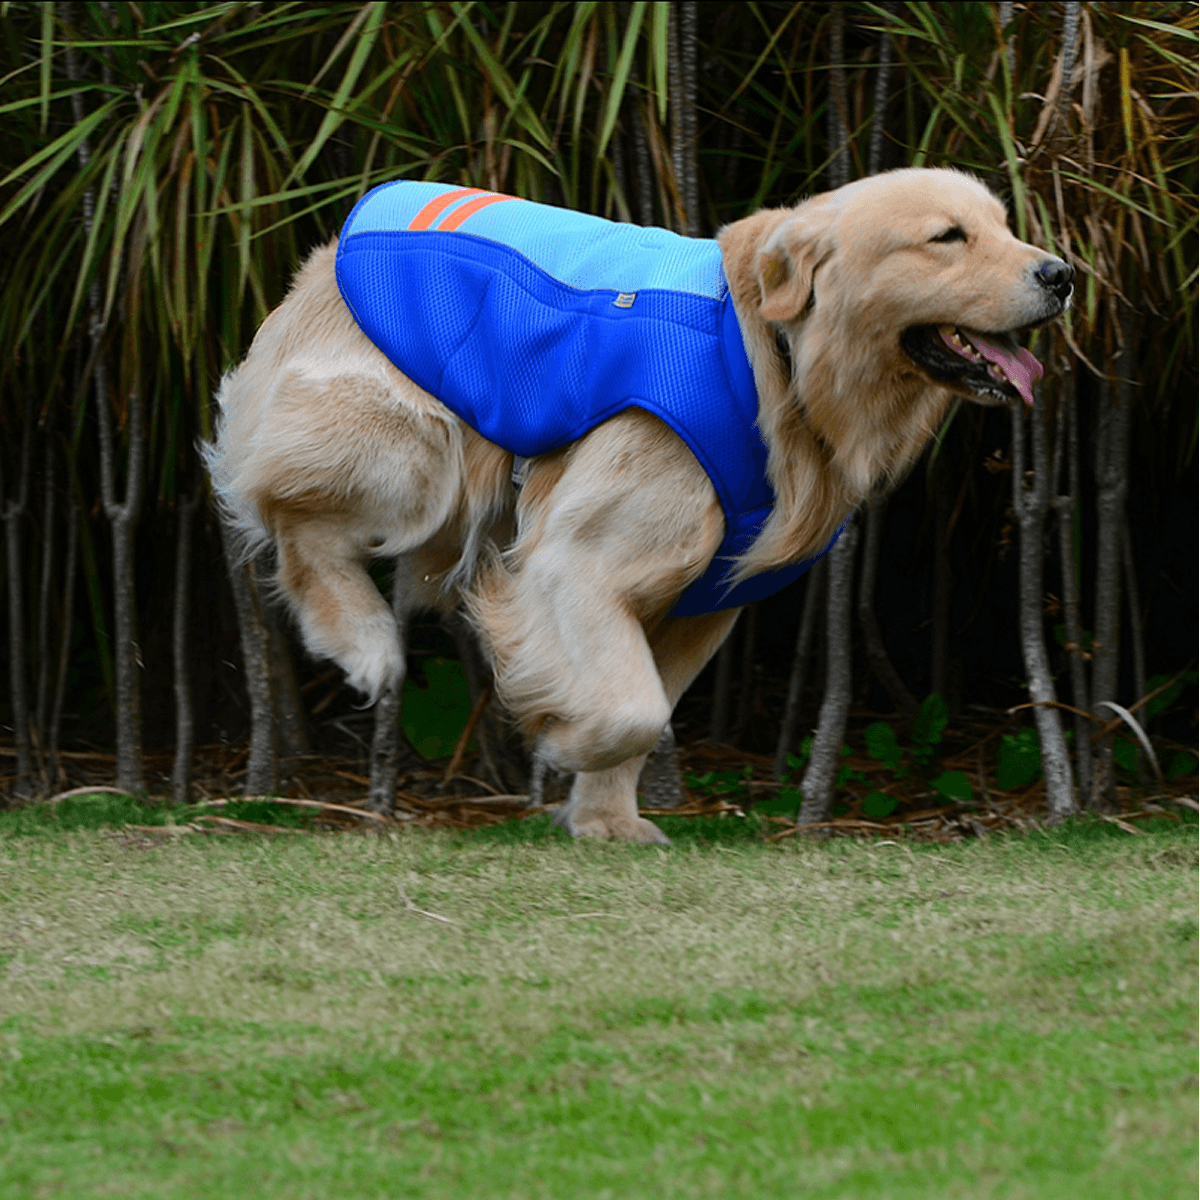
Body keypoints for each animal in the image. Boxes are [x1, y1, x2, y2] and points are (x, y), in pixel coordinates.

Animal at [206, 169, 1070, 844]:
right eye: (947, 237)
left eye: (1003, 225)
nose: (1062, 274)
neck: (772, 360)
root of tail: (339, 241)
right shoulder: (576, 563)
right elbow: (633, 711)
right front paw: (565, 743)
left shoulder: (704, 603)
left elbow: (652, 709)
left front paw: (604, 820)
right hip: (418, 450)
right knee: (291, 517)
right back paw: (363, 643)